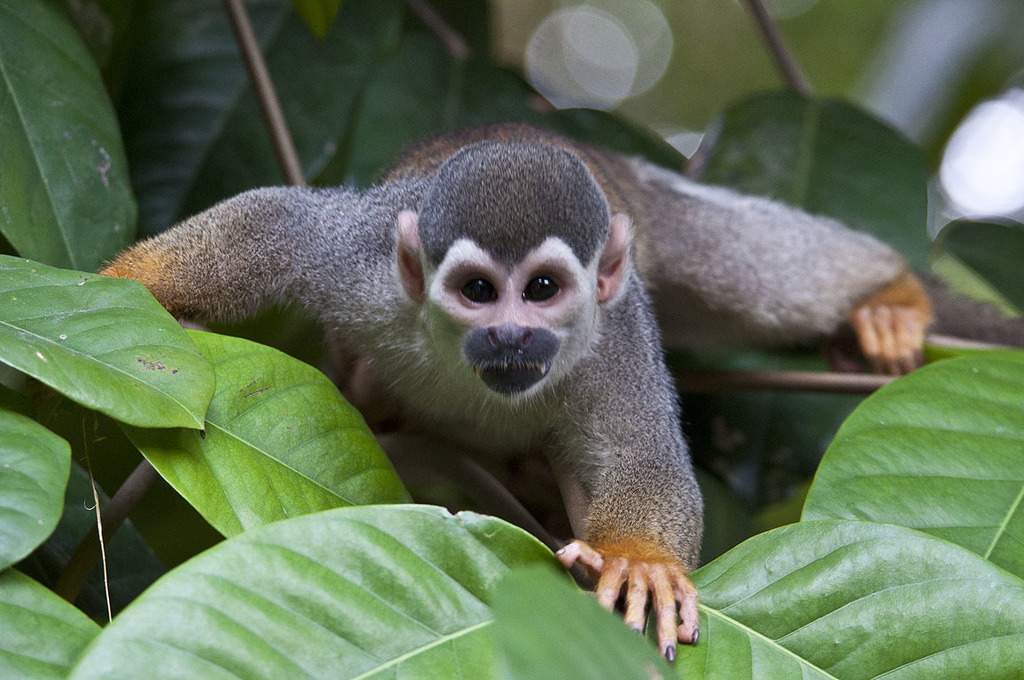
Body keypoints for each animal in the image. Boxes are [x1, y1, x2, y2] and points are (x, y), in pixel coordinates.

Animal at [101, 122, 953, 661]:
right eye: (479, 291)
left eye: (542, 290)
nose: (510, 336)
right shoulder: (363, 263)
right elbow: (274, 223)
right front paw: (116, 285)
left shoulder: (613, 334)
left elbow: (646, 452)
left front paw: (640, 563)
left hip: (654, 225)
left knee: (738, 269)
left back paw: (890, 290)